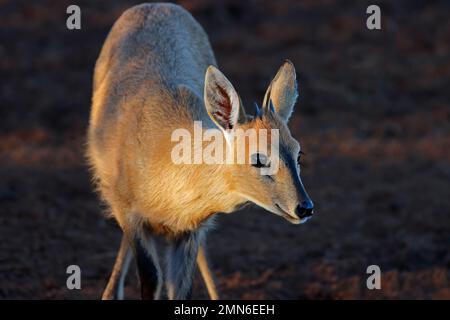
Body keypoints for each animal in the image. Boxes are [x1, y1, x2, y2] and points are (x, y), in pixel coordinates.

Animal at [87, 3, 312, 300]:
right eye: (258, 158)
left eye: (299, 154)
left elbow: (181, 289)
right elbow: (151, 279)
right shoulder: (130, 214)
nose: (304, 207)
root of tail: (153, 6)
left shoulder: (190, 231)